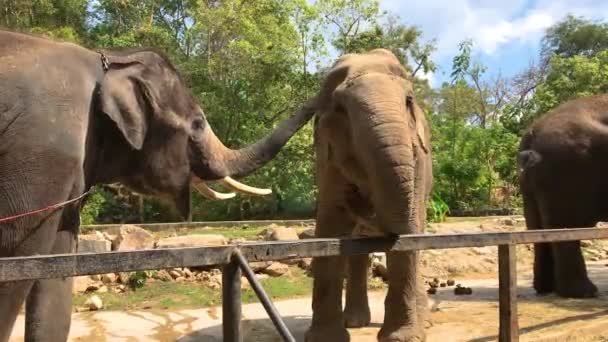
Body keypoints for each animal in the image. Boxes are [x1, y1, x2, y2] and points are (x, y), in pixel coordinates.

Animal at [0, 30, 314, 342]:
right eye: (198, 123)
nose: (320, 86)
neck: (107, 61)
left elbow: (56, 274)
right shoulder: (43, 154)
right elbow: (19, 264)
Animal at [306, 48, 434, 342]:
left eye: (408, 101)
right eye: (340, 108)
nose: (359, 198)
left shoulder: (418, 161)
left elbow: (410, 230)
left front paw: (401, 338)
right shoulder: (327, 160)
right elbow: (329, 226)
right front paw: (325, 339)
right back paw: (355, 321)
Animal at [516, 94, 608, 300]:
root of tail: (533, 132)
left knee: (538, 227)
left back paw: (546, 288)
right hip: (569, 169)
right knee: (567, 227)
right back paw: (584, 292)